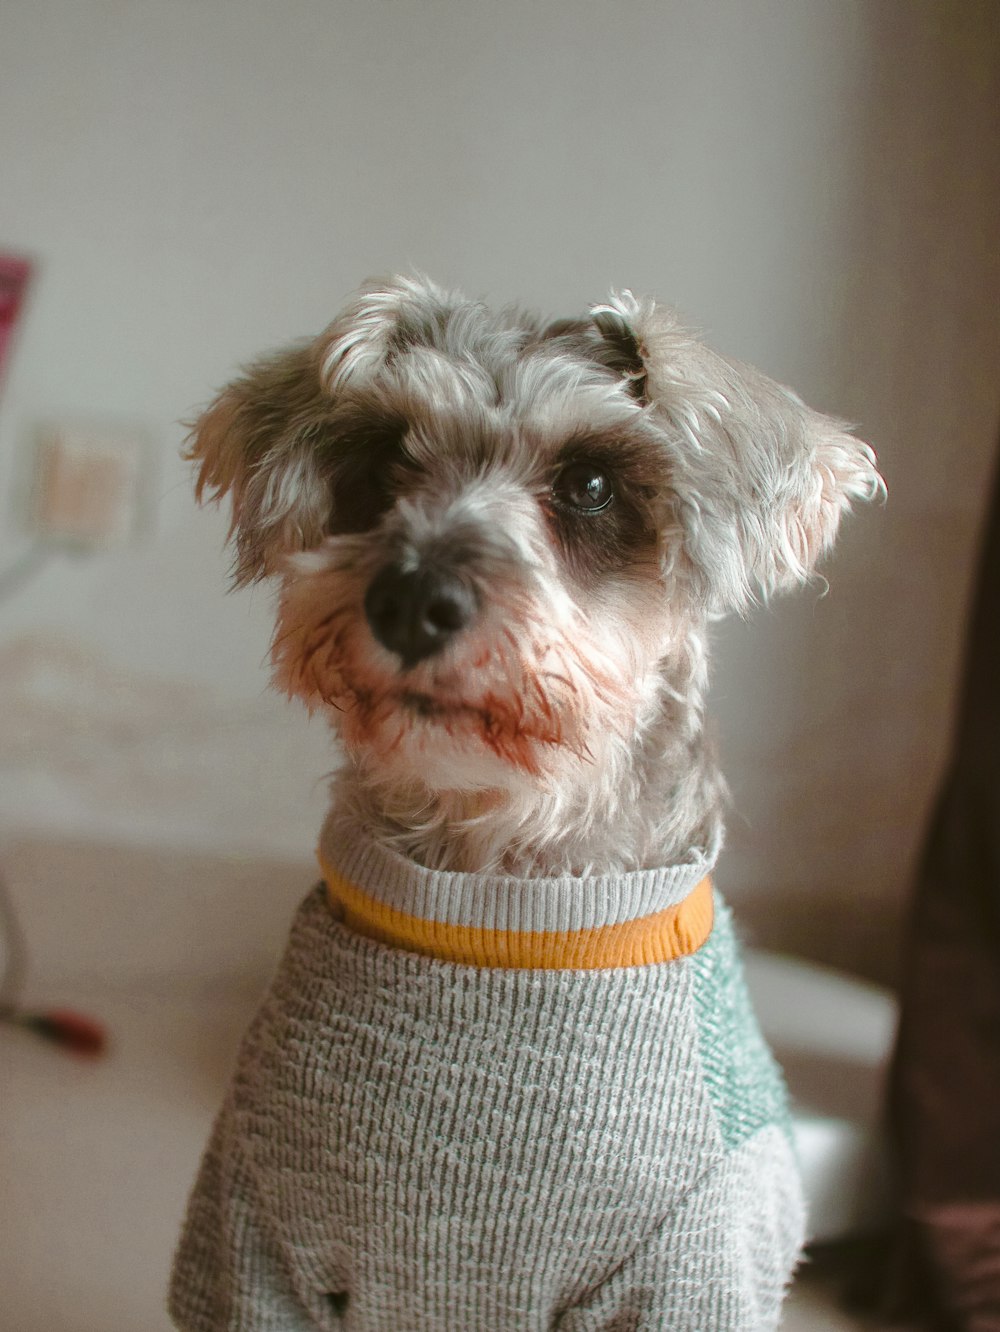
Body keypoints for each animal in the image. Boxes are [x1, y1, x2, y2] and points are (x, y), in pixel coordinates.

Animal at [170, 273, 884, 1332]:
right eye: (379, 458)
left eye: (590, 484)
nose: (409, 598)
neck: (498, 881)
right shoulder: (253, 1237)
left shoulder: (686, 1276)